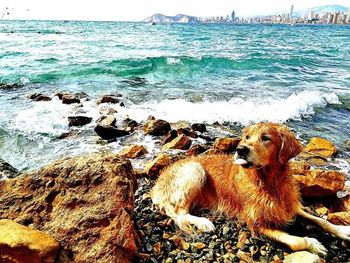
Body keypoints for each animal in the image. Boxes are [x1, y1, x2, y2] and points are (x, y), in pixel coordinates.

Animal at [152, 123, 350, 256]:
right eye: (247, 137)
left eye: (266, 138)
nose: (240, 149)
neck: (268, 183)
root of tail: (157, 184)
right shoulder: (257, 222)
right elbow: (296, 241)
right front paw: (313, 244)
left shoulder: (288, 206)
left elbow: (320, 220)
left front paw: (343, 231)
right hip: (196, 170)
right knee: (180, 212)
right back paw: (204, 222)